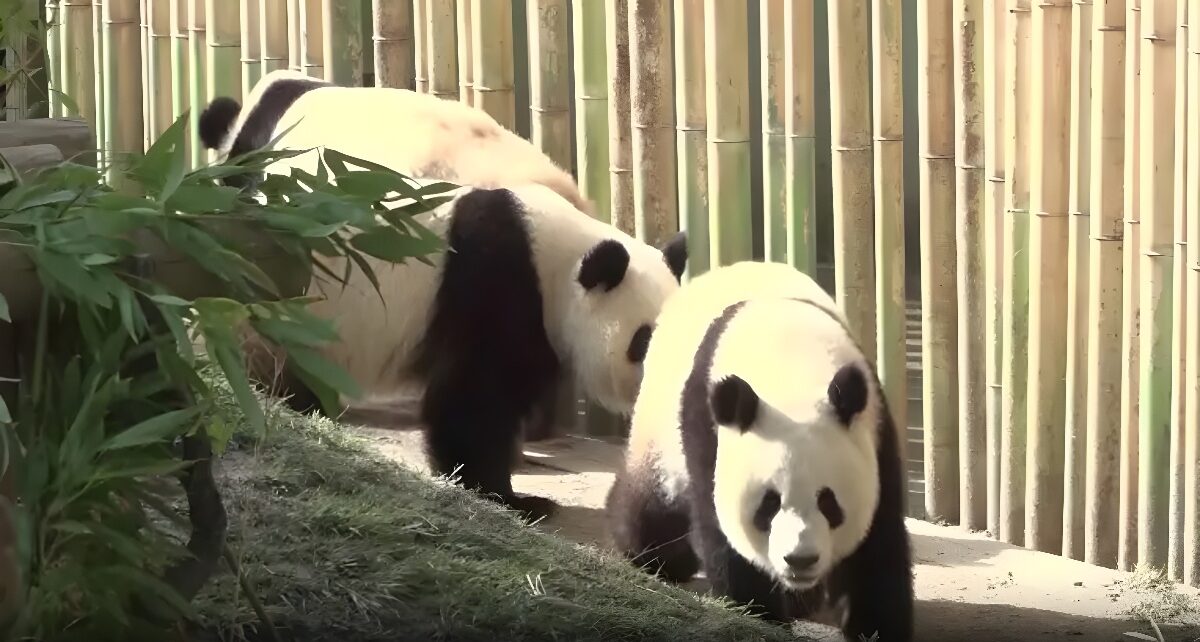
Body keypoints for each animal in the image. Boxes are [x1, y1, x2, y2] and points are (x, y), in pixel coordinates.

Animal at [605, 261, 913, 641]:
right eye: (769, 504)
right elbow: (724, 534)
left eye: (829, 502)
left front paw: (876, 627)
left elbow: (877, 545)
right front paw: (761, 618)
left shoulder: (875, 427)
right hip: (659, 428)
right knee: (650, 504)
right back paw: (651, 553)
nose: (800, 560)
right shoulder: (707, 431)